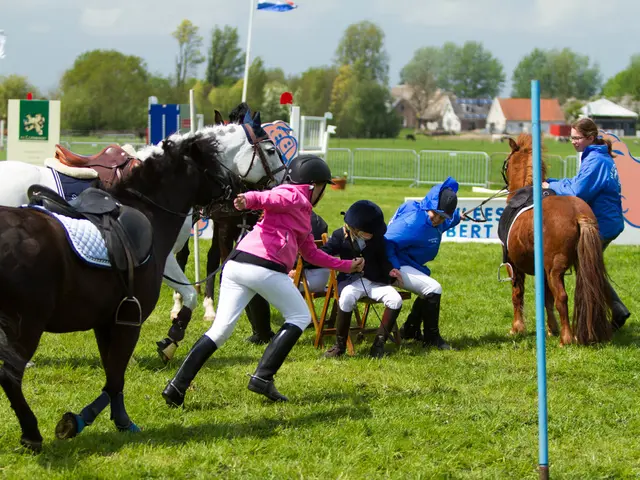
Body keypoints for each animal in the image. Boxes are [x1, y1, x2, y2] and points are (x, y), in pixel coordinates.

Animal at [0, 128, 235, 452]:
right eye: (213, 166)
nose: (233, 193)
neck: (148, 214)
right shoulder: (129, 322)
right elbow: (115, 377)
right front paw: (82, 420)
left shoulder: (106, 321)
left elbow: (113, 373)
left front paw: (116, 420)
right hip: (25, 328)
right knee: (10, 378)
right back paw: (31, 433)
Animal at [500, 133, 612, 345]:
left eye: (506, 163)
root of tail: (578, 215)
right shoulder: (542, 270)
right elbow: (546, 298)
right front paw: (551, 328)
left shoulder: (514, 265)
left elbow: (517, 295)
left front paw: (517, 328)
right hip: (582, 265)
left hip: (554, 270)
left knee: (562, 297)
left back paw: (566, 338)